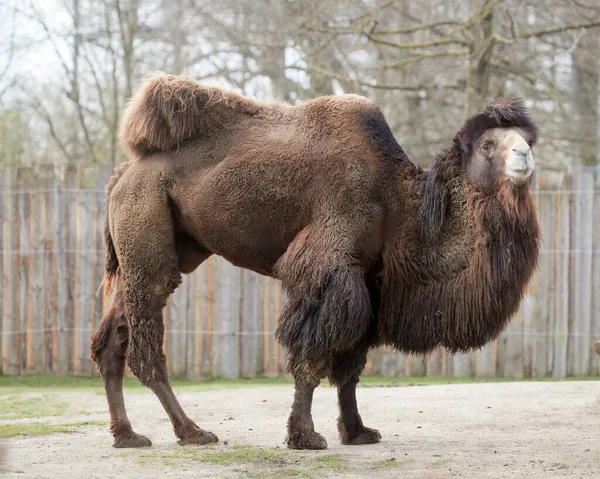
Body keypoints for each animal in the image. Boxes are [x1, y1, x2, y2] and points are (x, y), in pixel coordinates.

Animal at [89, 73, 540, 452]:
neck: (399, 203)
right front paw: (305, 436)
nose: (524, 157)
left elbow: (352, 363)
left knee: (111, 341)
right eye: (488, 145)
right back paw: (192, 431)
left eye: (526, 140)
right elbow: (313, 350)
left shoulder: (370, 280)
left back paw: (127, 435)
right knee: (147, 339)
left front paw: (358, 431)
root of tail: (122, 175)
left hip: (168, 248)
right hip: (146, 229)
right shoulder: (329, 264)